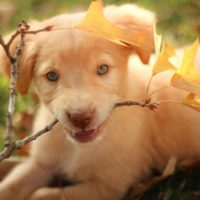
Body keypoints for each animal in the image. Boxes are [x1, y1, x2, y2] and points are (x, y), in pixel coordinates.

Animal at [0, 3, 200, 200]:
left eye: (103, 69)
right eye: (51, 76)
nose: (81, 118)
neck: (77, 148)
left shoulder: (108, 186)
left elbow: (44, 195)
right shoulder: (42, 162)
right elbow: (11, 187)